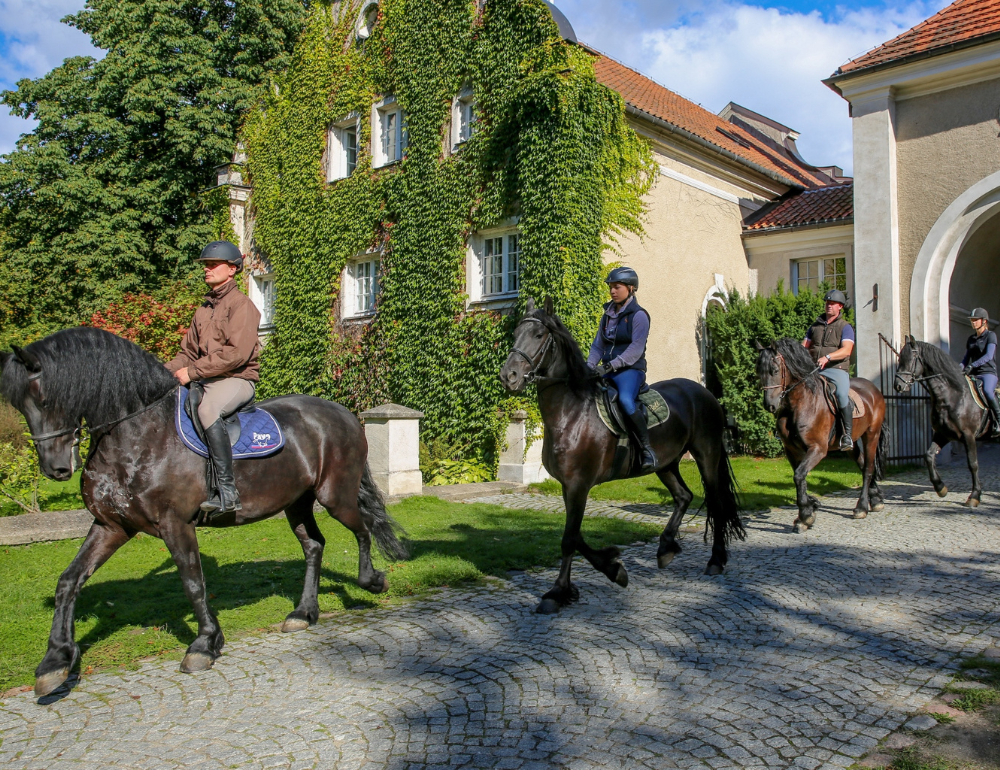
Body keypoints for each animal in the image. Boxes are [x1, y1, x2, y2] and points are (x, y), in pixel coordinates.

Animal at [0, 328, 406, 700]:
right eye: (20, 406)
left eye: (46, 397)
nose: (56, 469)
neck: (137, 435)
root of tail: (344, 413)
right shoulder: (111, 526)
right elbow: (69, 581)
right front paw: (55, 662)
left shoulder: (174, 523)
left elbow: (193, 582)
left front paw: (204, 644)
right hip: (297, 501)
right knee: (314, 545)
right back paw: (303, 613)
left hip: (334, 496)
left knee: (363, 528)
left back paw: (371, 581)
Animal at [498, 296, 744, 612]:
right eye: (517, 333)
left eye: (539, 335)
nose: (509, 376)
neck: (572, 412)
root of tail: (705, 393)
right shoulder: (568, 486)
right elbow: (575, 535)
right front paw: (612, 568)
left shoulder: (579, 485)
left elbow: (569, 539)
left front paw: (557, 592)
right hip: (666, 464)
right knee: (683, 496)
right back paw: (666, 548)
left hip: (707, 455)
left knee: (716, 502)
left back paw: (715, 560)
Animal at [756, 340, 892, 532]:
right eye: (758, 371)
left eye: (775, 370)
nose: (770, 405)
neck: (800, 403)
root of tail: (874, 390)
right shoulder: (792, 450)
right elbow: (800, 478)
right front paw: (810, 508)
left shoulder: (818, 449)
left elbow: (799, 476)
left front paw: (806, 515)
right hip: (851, 444)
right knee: (861, 463)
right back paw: (876, 499)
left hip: (871, 435)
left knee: (868, 468)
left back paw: (861, 507)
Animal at [900, 334, 992, 504]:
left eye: (911, 359)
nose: (898, 385)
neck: (953, 396)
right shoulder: (943, 434)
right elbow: (929, 456)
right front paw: (940, 487)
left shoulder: (969, 436)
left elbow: (973, 464)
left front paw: (975, 495)